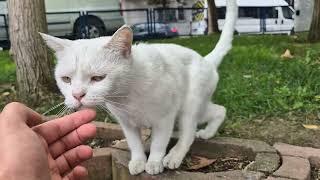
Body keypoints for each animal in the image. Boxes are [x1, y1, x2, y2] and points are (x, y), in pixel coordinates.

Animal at [39, 0, 238, 174]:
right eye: (66, 79)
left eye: (98, 78)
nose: (77, 95)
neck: (126, 96)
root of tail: (206, 60)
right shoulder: (127, 123)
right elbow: (134, 144)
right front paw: (138, 161)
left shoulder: (165, 118)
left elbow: (159, 143)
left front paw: (154, 163)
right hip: (197, 107)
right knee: (219, 110)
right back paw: (208, 132)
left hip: (188, 107)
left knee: (189, 132)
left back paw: (174, 156)